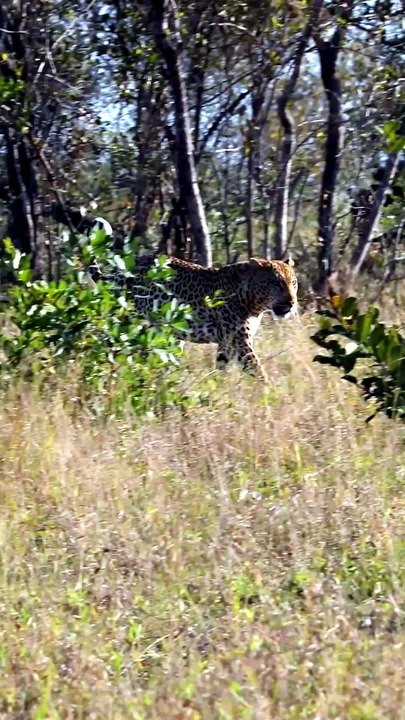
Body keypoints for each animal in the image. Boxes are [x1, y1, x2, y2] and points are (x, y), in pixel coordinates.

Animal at [88, 255, 298, 382]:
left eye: (293, 283)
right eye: (276, 283)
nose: (292, 302)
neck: (254, 303)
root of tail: (119, 272)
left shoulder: (227, 343)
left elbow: (221, 368)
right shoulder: (240, 343)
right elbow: (258, 370)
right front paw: (269, 398)